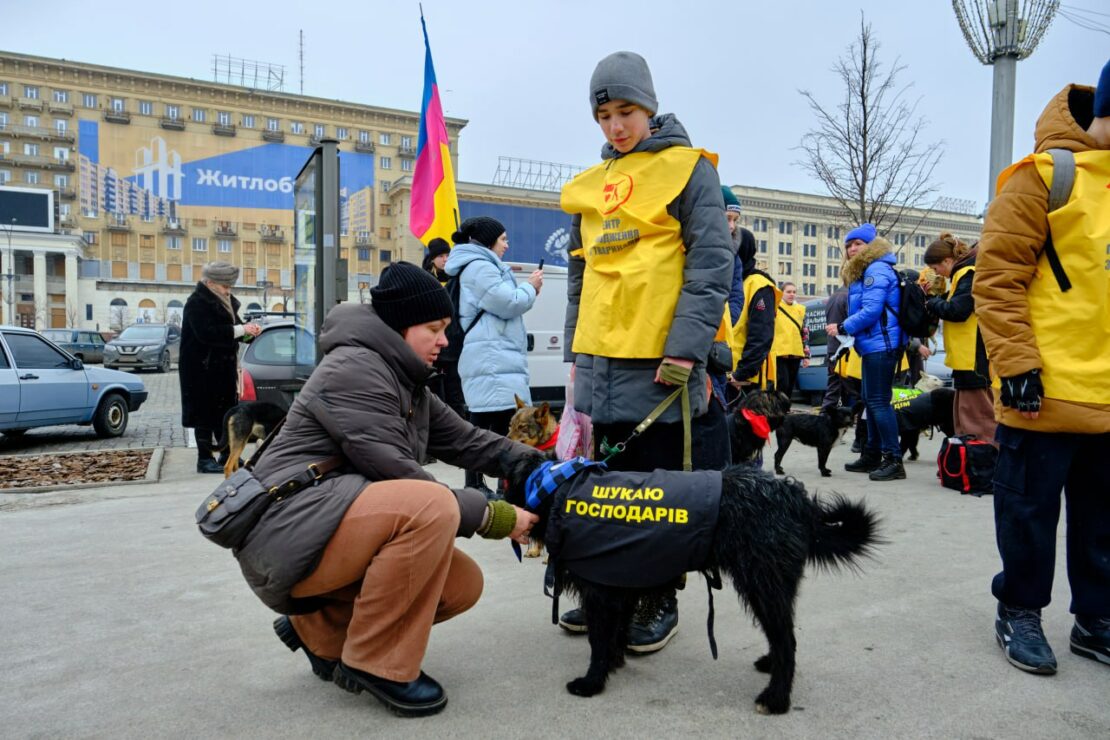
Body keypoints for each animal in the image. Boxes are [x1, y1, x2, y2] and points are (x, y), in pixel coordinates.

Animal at [501, 457, 874, 718]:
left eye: (506, 482)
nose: (499, 499)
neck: (559, 489)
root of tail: (794, 498)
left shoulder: (600, 594)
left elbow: (598, 641)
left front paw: (592, 681)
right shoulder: (620, 583)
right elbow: (615, 634)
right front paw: (613, 663)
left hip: (762, 583)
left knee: (787, 640)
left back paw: (776, 698)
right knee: (782, 636)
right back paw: (770, 666)